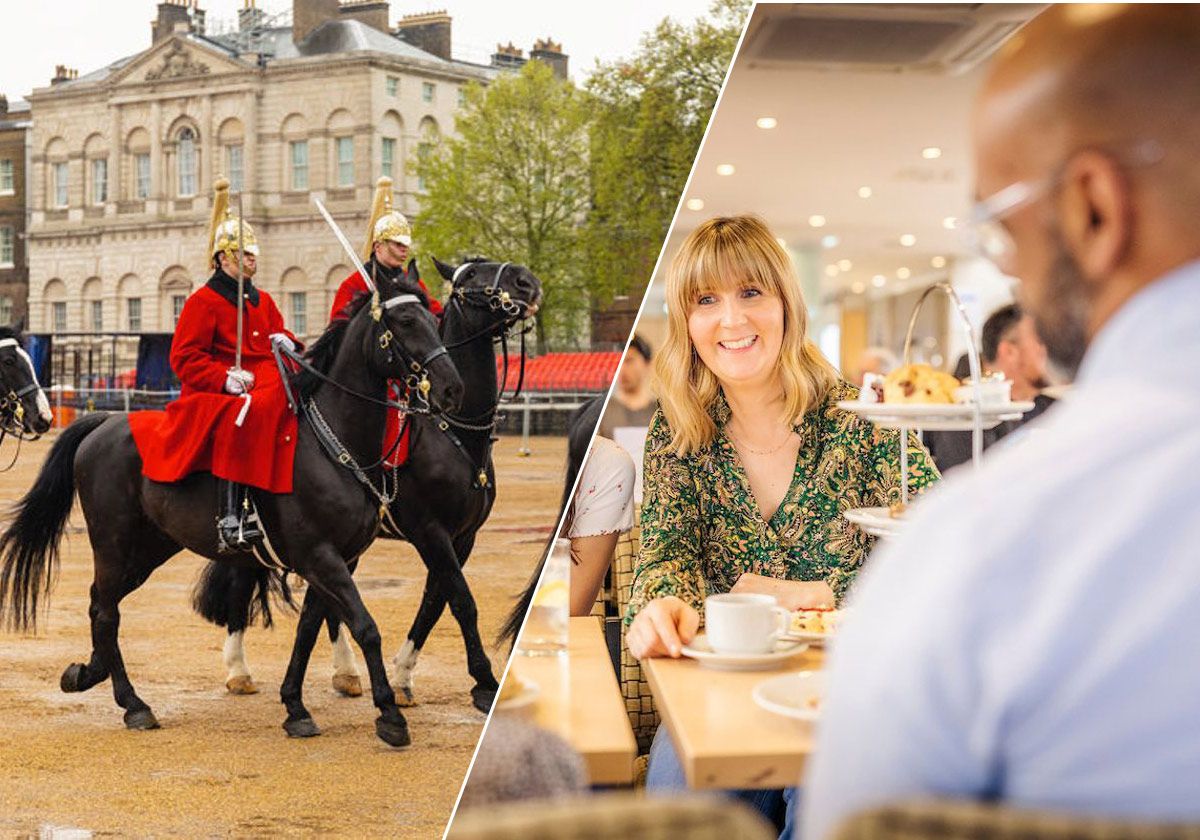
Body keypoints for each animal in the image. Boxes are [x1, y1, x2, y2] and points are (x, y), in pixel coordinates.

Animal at [194, 259, 542, 710]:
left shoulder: (462, 537)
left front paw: (404, 676)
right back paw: (239, 669)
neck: (454, 430)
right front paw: (483, 681)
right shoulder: (430, 531)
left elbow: (435, 601)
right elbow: (461, 601)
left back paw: (345, 672)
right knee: (244, 583)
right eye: (471, 277)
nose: (528, 283)